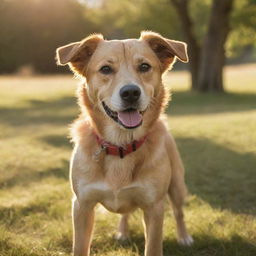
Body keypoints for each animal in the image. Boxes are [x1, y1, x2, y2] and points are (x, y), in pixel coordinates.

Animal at [55, 31, 192, 255]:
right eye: (105, 69)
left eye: (144, 66)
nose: (130, 93)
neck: (121, 145)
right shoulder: (82, 205)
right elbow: (80, 247)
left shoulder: (154, 208)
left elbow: (153, 247)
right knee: (125, 213)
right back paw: (123, 232)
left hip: (177, 186)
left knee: (178, 211)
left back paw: (184, 237)